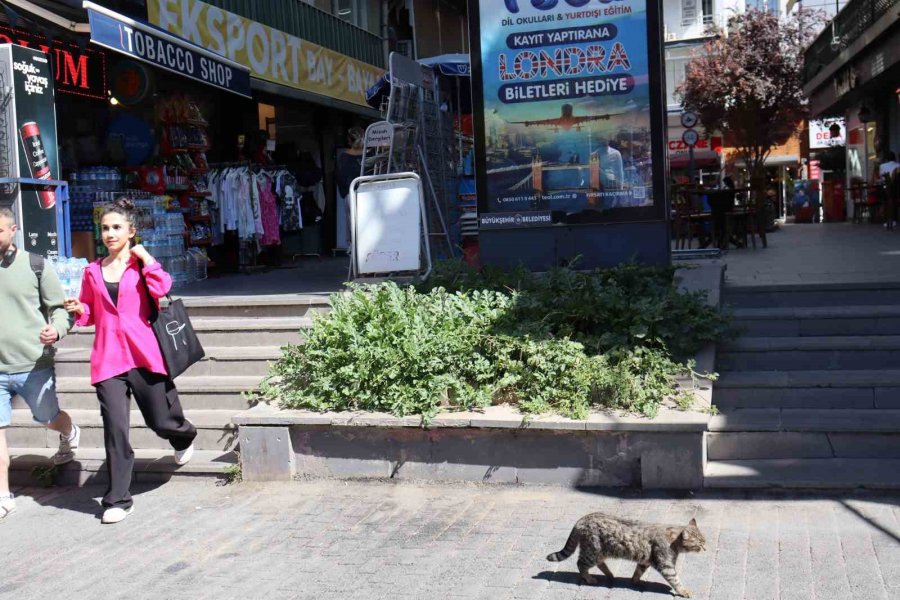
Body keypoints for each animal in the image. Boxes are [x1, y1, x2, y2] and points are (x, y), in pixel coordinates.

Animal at [544, 512, 708, 596]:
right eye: (700, 544)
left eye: (704, 541)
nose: (706, 549)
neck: (673, 540)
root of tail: (582, 519)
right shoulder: (666, 565)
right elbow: (676, 580)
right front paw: (683, 591)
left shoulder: (645, 561)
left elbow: (638, 571)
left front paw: (635, 580)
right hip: (592, 551)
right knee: (580, 564)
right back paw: (589, 579)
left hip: (600, 552)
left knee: (598, 563)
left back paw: (610, 574)